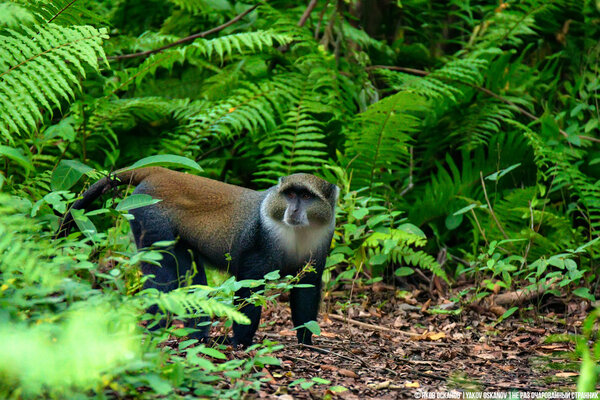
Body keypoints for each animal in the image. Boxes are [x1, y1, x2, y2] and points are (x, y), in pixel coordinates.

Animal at [60, 167, 338, 346]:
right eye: (289, 194)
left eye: (306, 196)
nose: (293, 210)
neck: (297, 232)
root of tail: (160, 172)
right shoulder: (260, 246)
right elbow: (249, 288)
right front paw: (240, 342)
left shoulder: (320, 245)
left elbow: (307, 290)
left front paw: (307, 341)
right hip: (149, 219)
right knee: (163, 278)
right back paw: (156, 332)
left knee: (189, 277)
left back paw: (198, 337)